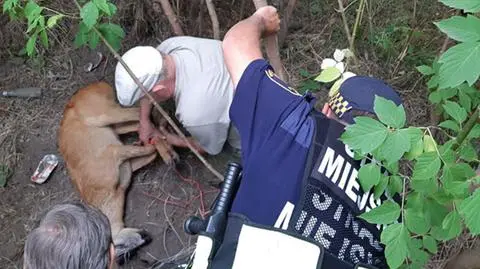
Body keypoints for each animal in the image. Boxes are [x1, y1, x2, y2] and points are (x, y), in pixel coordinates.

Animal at [59, 81, 179, 260]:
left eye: (117, 248)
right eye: (124, 254)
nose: (147, 237)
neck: (110, 193)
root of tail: (94, 85)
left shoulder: (114, 152)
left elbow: (149, 147)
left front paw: (167, 152)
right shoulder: (128, 166)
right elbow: (150, 152)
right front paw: (160, 147)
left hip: (105, 114)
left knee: (139, 112)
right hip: (116, 126)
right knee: (141, 122)